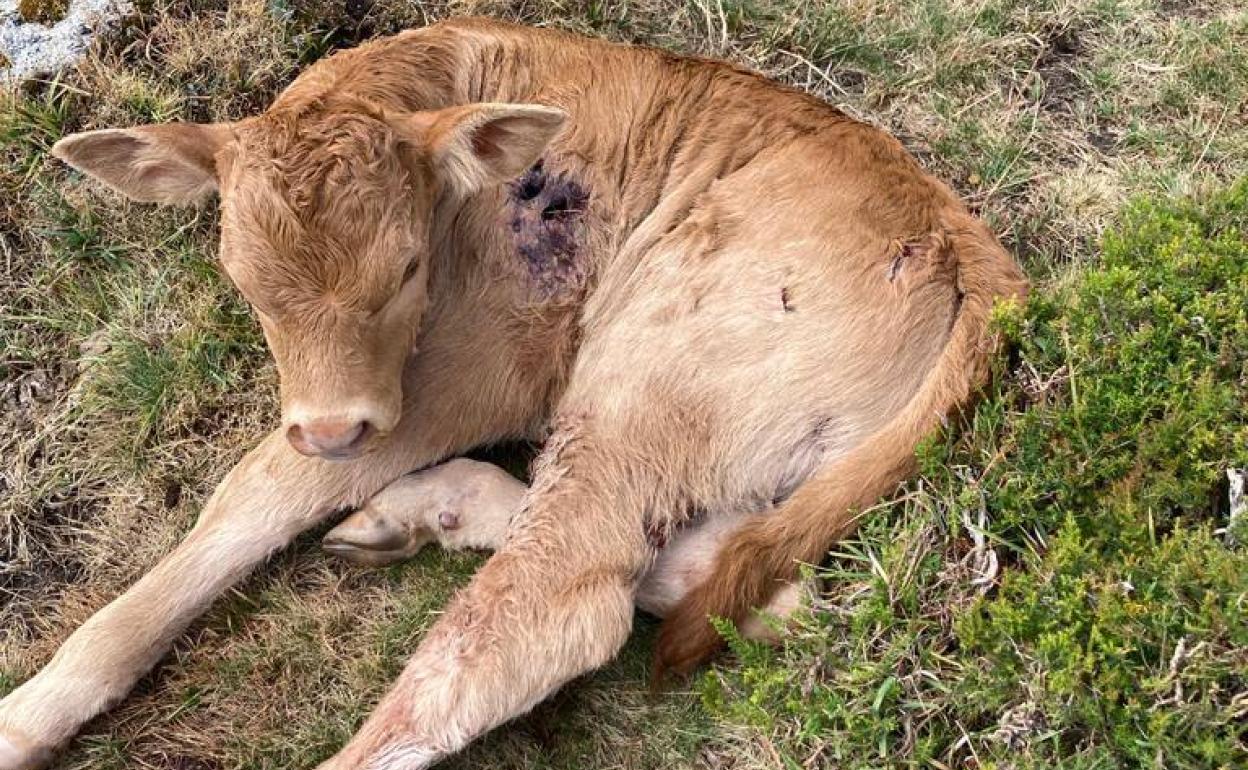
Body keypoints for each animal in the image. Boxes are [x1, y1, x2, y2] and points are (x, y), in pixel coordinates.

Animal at [0, 18, 1023, 768]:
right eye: (244, 283)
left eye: (406, 268)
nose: (329, 427)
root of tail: (967, 244)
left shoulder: (476, 369)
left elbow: (253, 493)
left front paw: (25, 716)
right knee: (747, 587)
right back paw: (423, 510)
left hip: (649, 370)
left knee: (554, 603)